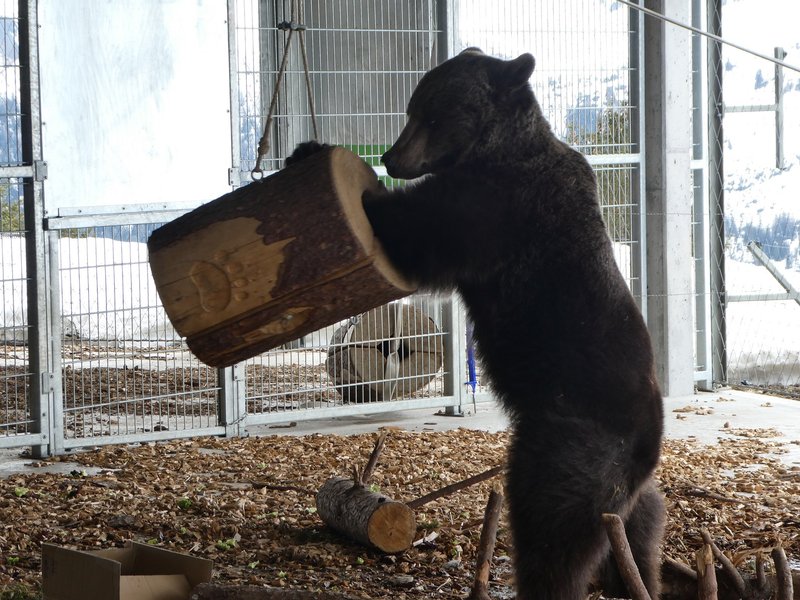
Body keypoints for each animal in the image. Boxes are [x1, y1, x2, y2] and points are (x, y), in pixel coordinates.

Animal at [288, 48, 665, 600]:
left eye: (432, 115)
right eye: (413, 107)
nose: (392, 157)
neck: (496, 147)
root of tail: (649, 442)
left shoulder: (498, 208)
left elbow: (423, 228)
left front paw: (346, 176)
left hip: (575, 444)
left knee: (552, 524)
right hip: (625, 488)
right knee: (641, 527)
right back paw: (637, 578)